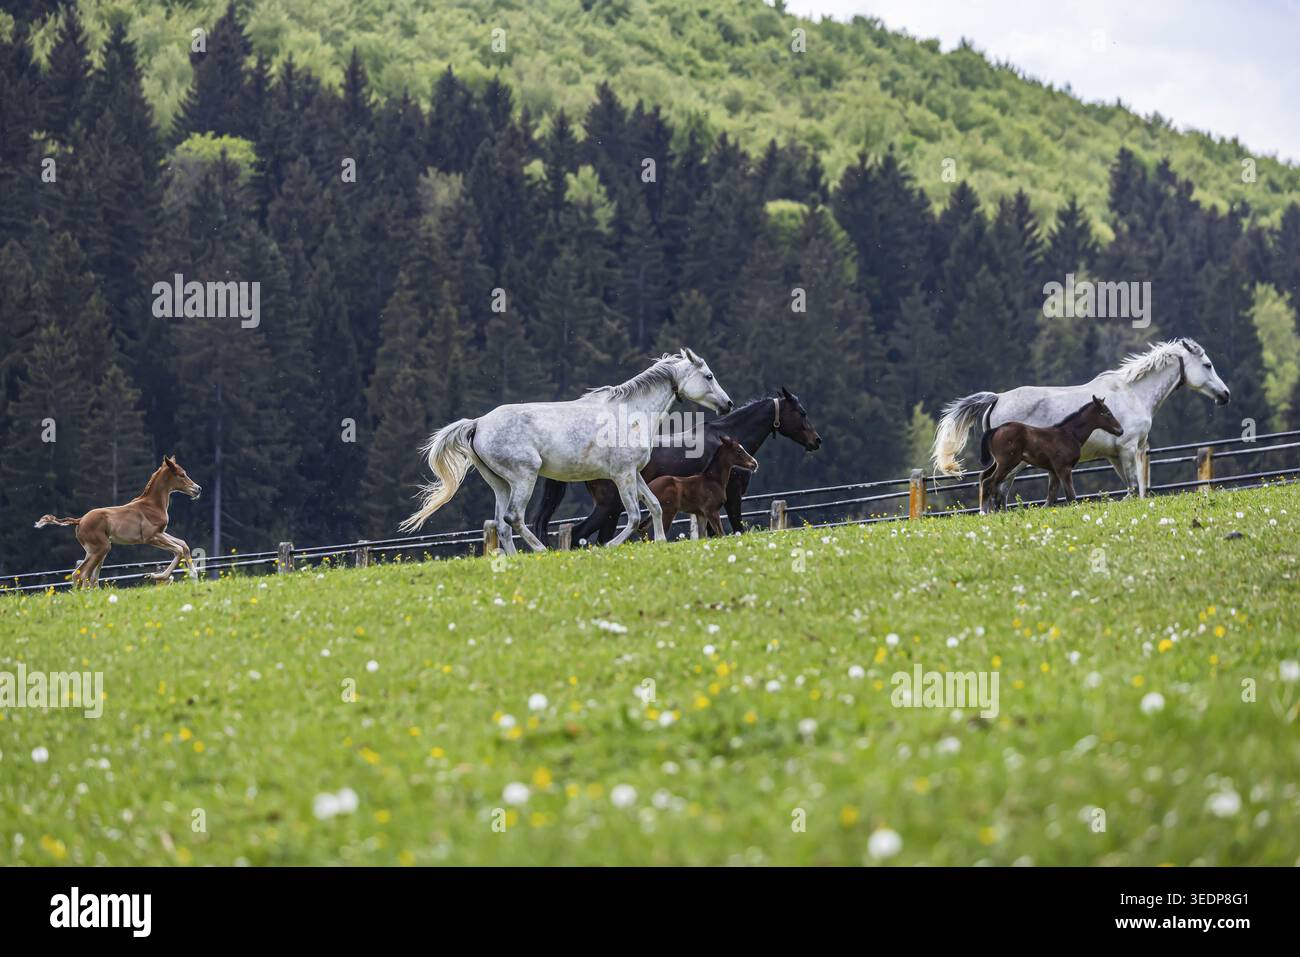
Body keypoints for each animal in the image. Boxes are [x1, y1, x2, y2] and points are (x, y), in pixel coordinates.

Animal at [34, 455, 203, 588]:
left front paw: (194, 576)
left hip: (94, 551)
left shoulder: (161, 532)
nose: (198, 489)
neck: (152, 504)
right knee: (83, 575)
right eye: (181, 475)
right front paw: (156, 576)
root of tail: (80, 520)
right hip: (101, 548)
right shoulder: (150, 537)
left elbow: (183, 545)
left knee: (83, 575)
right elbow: (178, 550)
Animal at [399, 349, 733, 551]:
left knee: (502, 525)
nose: (727, 404)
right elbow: (635, 515)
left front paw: (661, 543)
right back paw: (541, 550)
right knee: (513, 518)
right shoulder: (622, 475)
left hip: (500, 484)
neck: (631, 413)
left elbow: (654, 506)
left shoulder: (633, 474)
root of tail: (478, 424)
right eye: (708, 376)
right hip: (524, 476)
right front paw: (611, 546)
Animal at [527, 387, 821, 545]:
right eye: (802, 413)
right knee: (578, 535)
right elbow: (735, 528)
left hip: (611, 510)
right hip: (609, 506)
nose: (816, 441)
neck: (727, 438)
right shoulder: (732, 498)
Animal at [980, 397, 1125, 511]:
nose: (1121, 430)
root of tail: (995, 429)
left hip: (999, 462)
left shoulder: (1053, 470)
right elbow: (1070, 496)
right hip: (1007, 462)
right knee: (989, 482)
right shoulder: (1063, 468)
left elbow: (1051, 497)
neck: (1069, 434)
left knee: (984, 477)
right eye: (1107, 413)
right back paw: (985, 512)